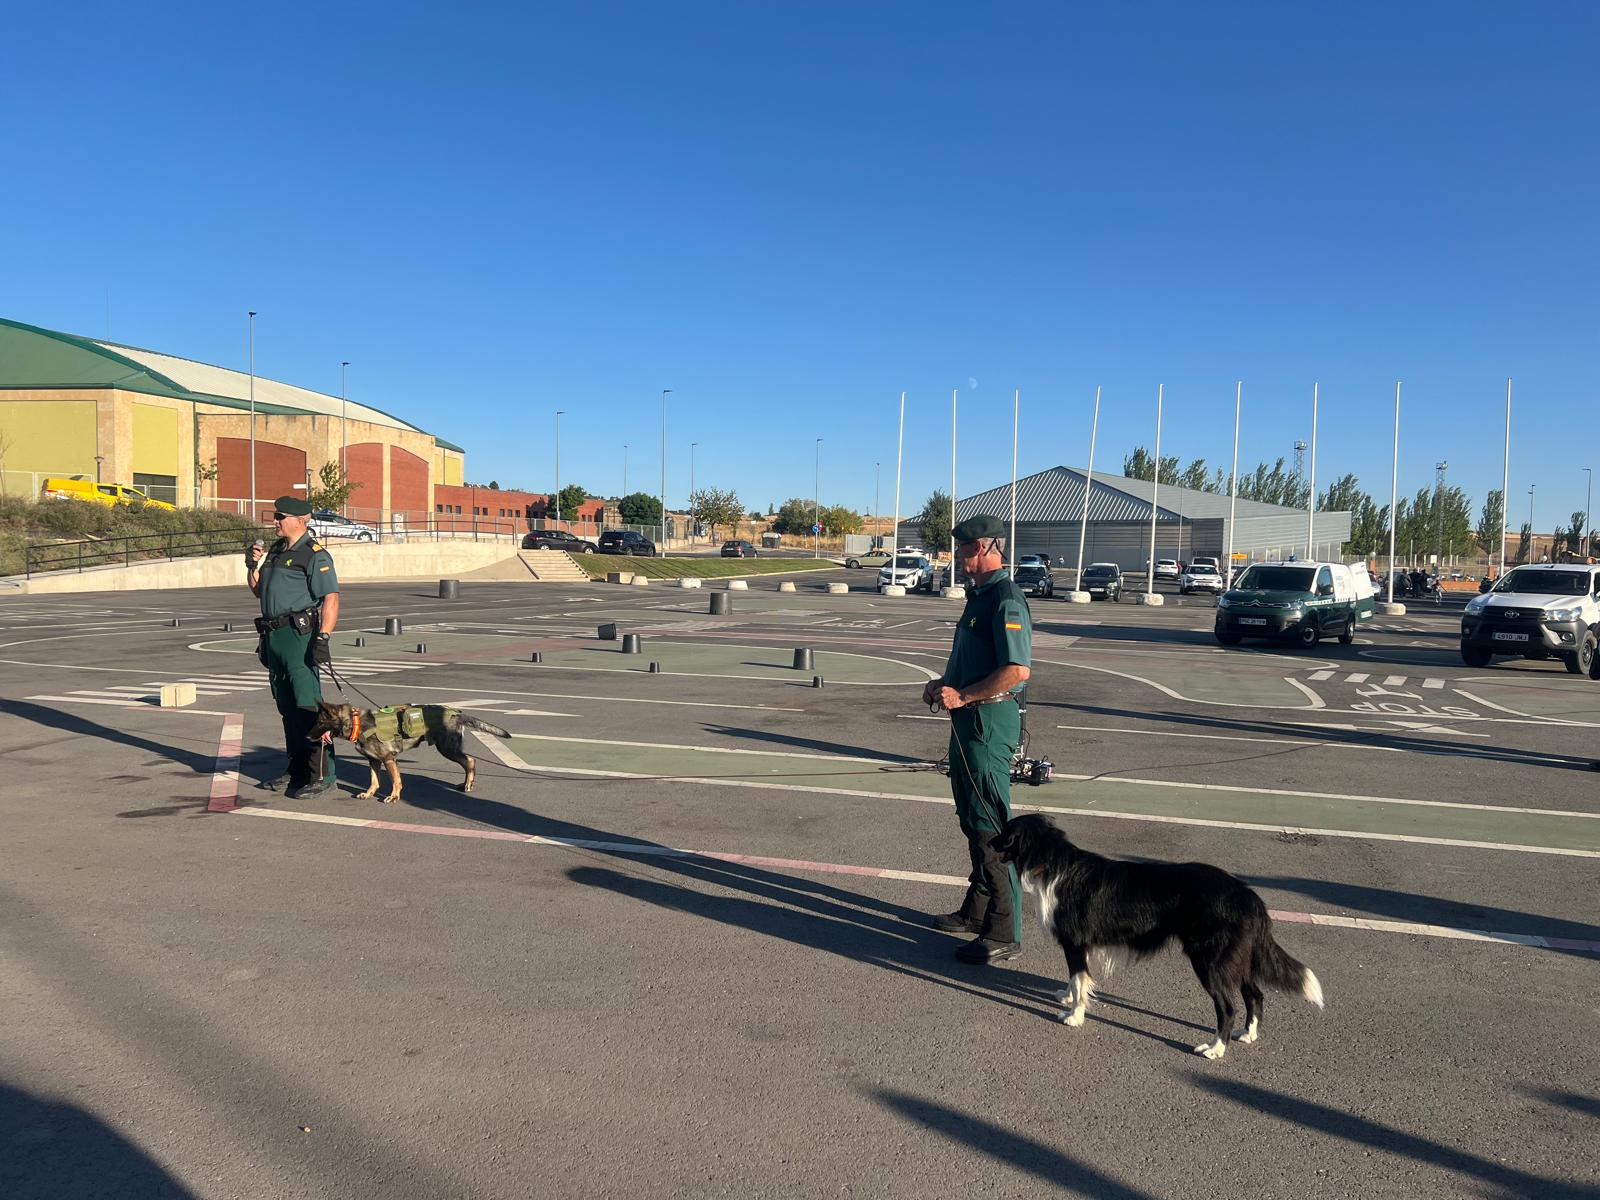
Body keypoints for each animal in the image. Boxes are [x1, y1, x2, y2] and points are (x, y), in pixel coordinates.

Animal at [308, 700, 508, 803]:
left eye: (320, 722)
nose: (306, 736)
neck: (357, 724)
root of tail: (456, 713)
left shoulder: (389, 760)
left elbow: (396, 780)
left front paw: (394, 796)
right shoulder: (374, 761)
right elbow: (374, 780)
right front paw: (369, 793)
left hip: (447, 749)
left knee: (471, 761)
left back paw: (468, 784)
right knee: (468, 762)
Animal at [985, 819, 1324, 1062]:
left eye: (1005, 833)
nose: (987, 842)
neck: (1054, 864)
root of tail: (1247, 895)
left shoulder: (1075, 942)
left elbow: (1079, 980)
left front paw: (1074, 1016)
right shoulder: (1080, 946)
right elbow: (1076, 979)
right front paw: (1068, 998)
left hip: (1210, 961)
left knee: (1227, 1007)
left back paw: (1215, 1049)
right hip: (1235, 959)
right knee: (1255, 994)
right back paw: (1248, 1034)